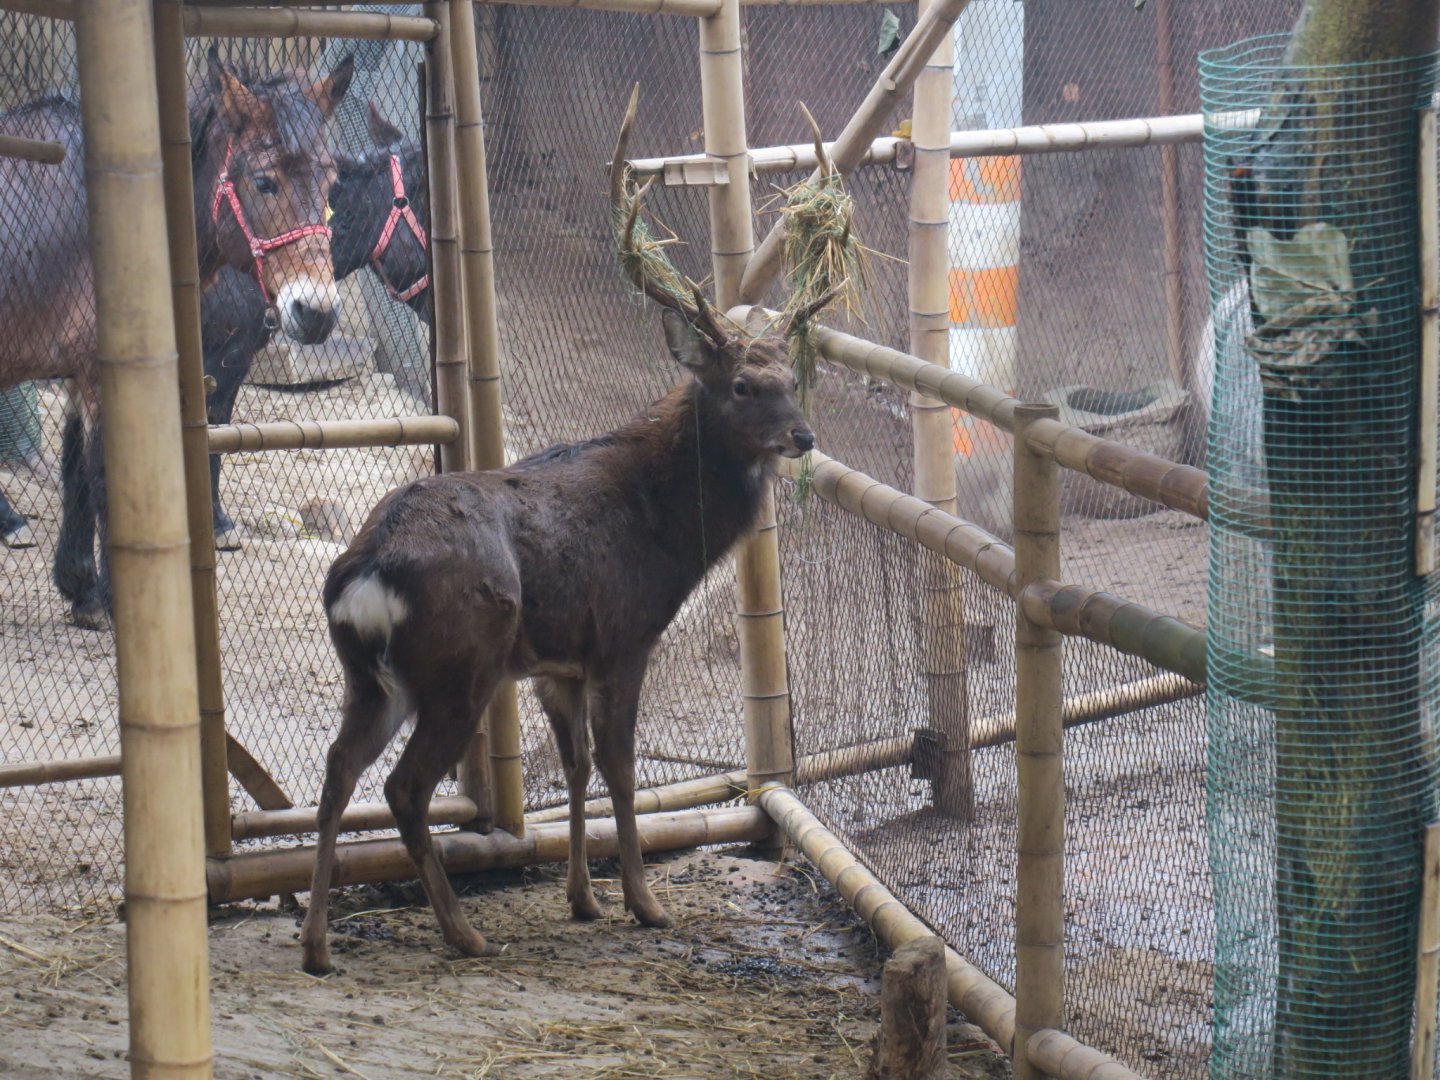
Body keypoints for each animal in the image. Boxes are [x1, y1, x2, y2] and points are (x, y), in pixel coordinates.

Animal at [299, 86, 837, 975]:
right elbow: (619, 769)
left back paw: (316, 945)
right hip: (462, 664)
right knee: (404, 788)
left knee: (338, 771)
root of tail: (363, 570)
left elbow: (578, 770)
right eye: (740, 385)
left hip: (372, 676)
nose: (803, 435)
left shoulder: (558, 665)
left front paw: (583, 898)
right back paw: (462, 931)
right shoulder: (624, 633)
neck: (662, 528)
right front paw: (644, 903)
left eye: (792, 378)